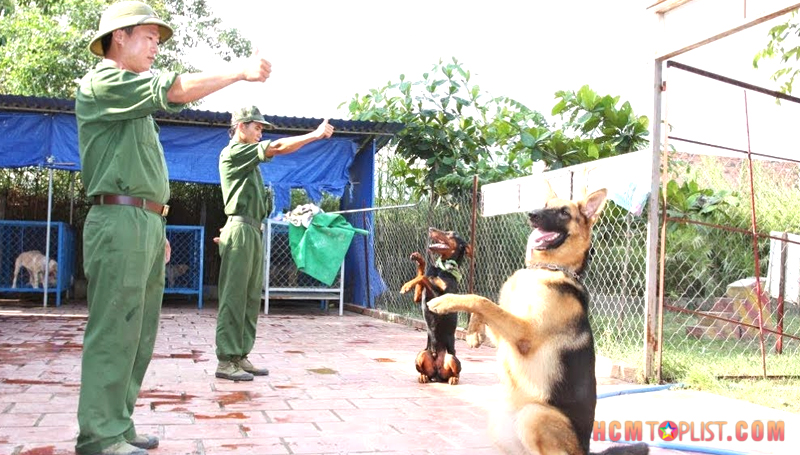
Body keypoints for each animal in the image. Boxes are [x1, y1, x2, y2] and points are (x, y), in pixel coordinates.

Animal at [398, 228, 472, 384]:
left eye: (451, 234)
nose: (431, 228)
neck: (443, 268)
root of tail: (437, 374)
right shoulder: (419, 298)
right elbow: (422, 276)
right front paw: (420, 260)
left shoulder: (441, 299)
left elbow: (424, 278)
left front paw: (406, 285)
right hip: (421, 354)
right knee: (425, 371)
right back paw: (423, 376)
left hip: (452, 358)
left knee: (456, 371)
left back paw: (453, 379)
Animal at [428, 184, 648, 455]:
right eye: (544, 206)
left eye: (564, 212)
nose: (532, 215)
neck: (546, 269)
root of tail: (586, 450)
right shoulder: (505, 334)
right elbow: (486, 307)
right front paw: (473, 332)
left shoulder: (525, 335)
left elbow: (481, 300)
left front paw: (445, 301)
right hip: (500, 420)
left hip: (533, 415)